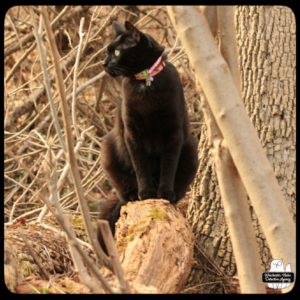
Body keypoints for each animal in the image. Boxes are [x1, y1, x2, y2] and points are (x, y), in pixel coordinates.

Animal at [97, 20, 198, 251]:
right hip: (109, 146)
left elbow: (168, 165)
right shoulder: (132, 133)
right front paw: (146, 193)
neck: (146, 83)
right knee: (123, 191)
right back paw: (133, 195)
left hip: (191, 148)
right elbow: (140, 165)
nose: (104, 63)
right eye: (107, 51)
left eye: (116, 52)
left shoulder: (173, 132)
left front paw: (165, 193)